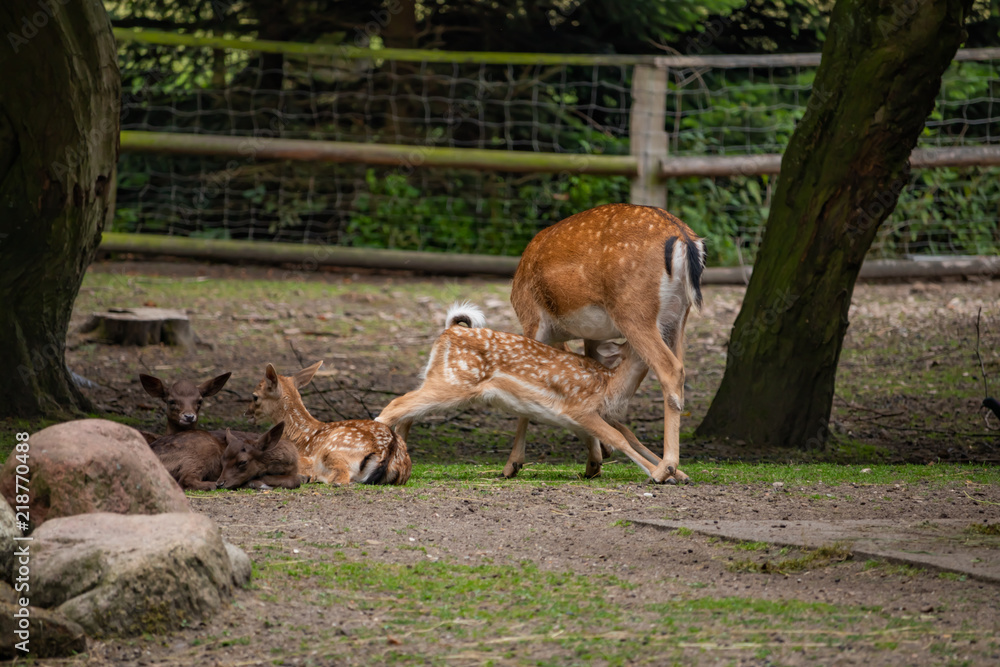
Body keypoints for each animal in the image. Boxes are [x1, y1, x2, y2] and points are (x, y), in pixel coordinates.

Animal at [244, 361, 412, 486]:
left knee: (340, 480)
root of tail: (389, 451)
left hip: (334, 448)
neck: (301, 437)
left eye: (255, 396)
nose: (247, 414)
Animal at [375, 302, 663, 480]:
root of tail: (450, 330)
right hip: (453, 383)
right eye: (635, 342)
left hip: (439, 379)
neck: (611, 385)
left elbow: (631, 437)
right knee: (396, 405)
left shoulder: (596, 414)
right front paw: (658, 474)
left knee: (407, 412)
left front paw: (669, 469)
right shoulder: (580, 408)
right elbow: (619, 438)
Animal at [508, 203, 704, 484]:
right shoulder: (594, 334)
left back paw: (664, 468)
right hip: (677, 317)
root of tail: (684, 239)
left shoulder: (532, 319)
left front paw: (513, 464)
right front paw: (596, 458)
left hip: (634, 312)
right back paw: (676, 470)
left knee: (671, 369)